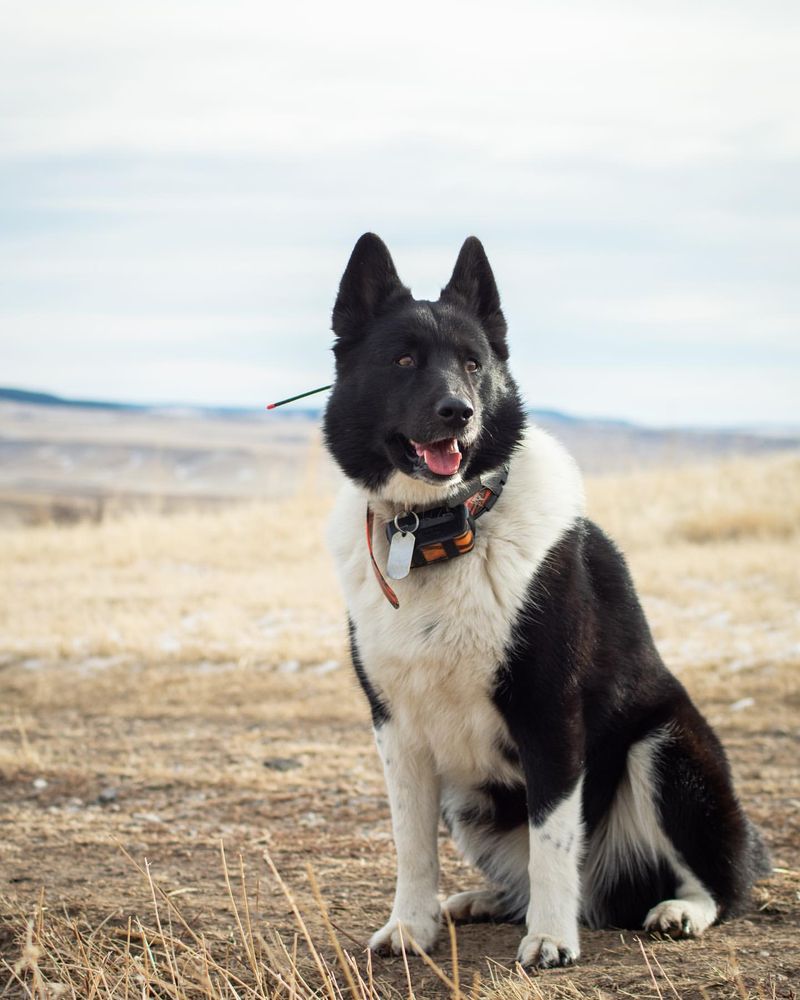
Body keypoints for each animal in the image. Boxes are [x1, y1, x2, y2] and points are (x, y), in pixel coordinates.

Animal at [320, 234, 768, 968]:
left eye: (473, 364)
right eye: (404, 359)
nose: (459, 412)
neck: (442, 529)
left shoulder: (550, 716)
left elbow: (553, 840)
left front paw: (553, 941)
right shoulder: (396, 730)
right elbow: (413, 847)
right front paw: (411, 927)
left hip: (667, 747)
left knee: (717, 883)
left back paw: (679, 910)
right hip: (469, 800)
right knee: (522, 875)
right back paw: (482, 901)